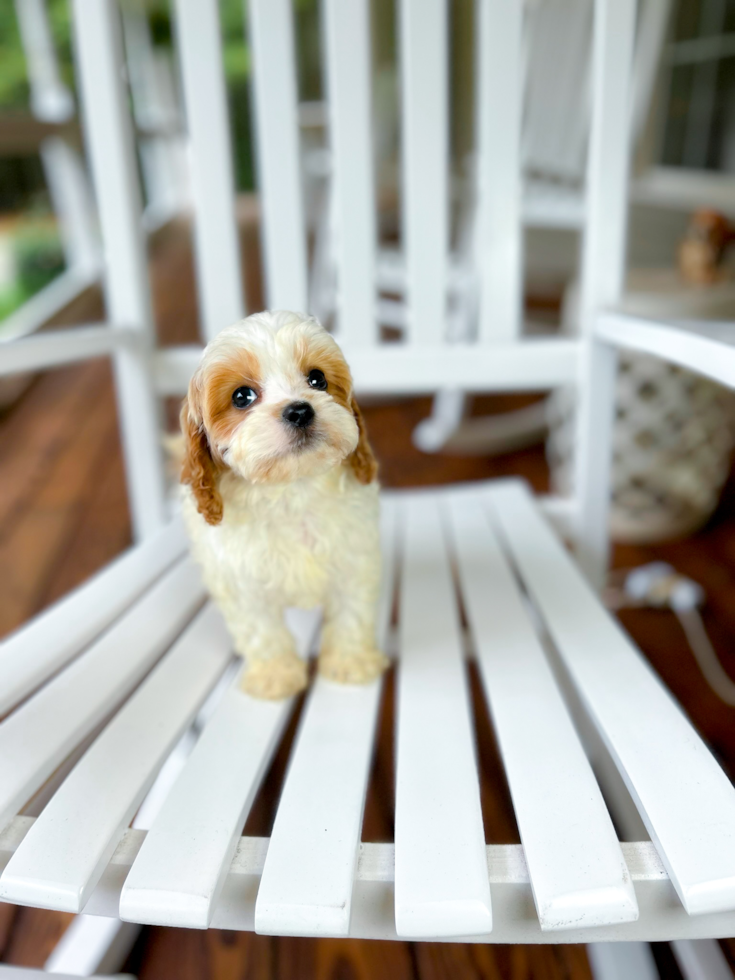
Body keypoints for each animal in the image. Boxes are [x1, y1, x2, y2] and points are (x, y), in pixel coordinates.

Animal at [180, 310, 386, 700]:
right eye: (242, 396)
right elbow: (263, 632)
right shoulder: (241, 583)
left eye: (317, 379)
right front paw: (276, 675)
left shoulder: (354, 561)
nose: (300, 411)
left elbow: (351, 613)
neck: (291, 490)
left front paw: (350, 662)